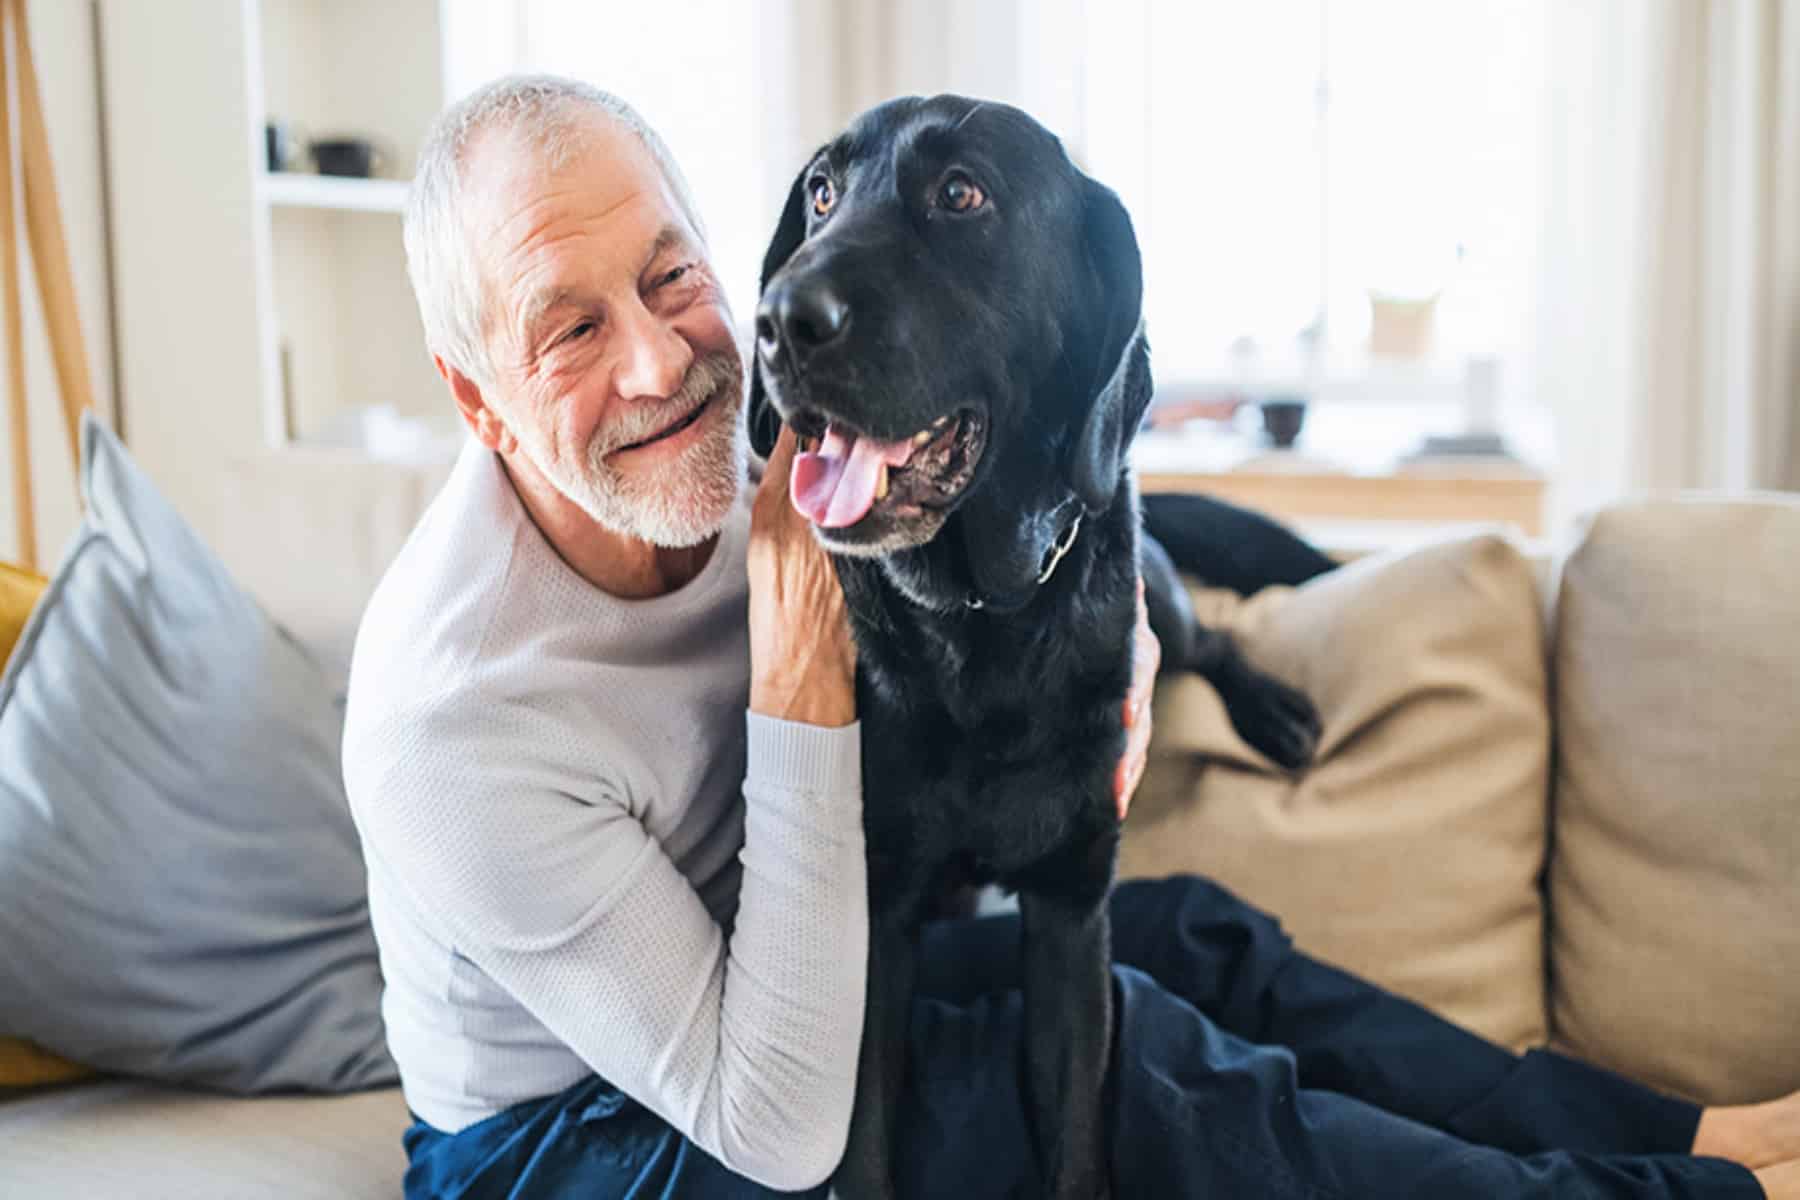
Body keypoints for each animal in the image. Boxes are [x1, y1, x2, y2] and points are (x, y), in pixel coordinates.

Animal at [752, 96, 1332, 1200]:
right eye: (821, 194)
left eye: (961, 193)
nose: (775, 321)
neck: (978, 618)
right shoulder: (876, 912)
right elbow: (864, 1139)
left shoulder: (1071, 910)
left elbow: (1075, 1137)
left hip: (1159, 602)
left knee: (1213, 637)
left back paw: (1277, 710)